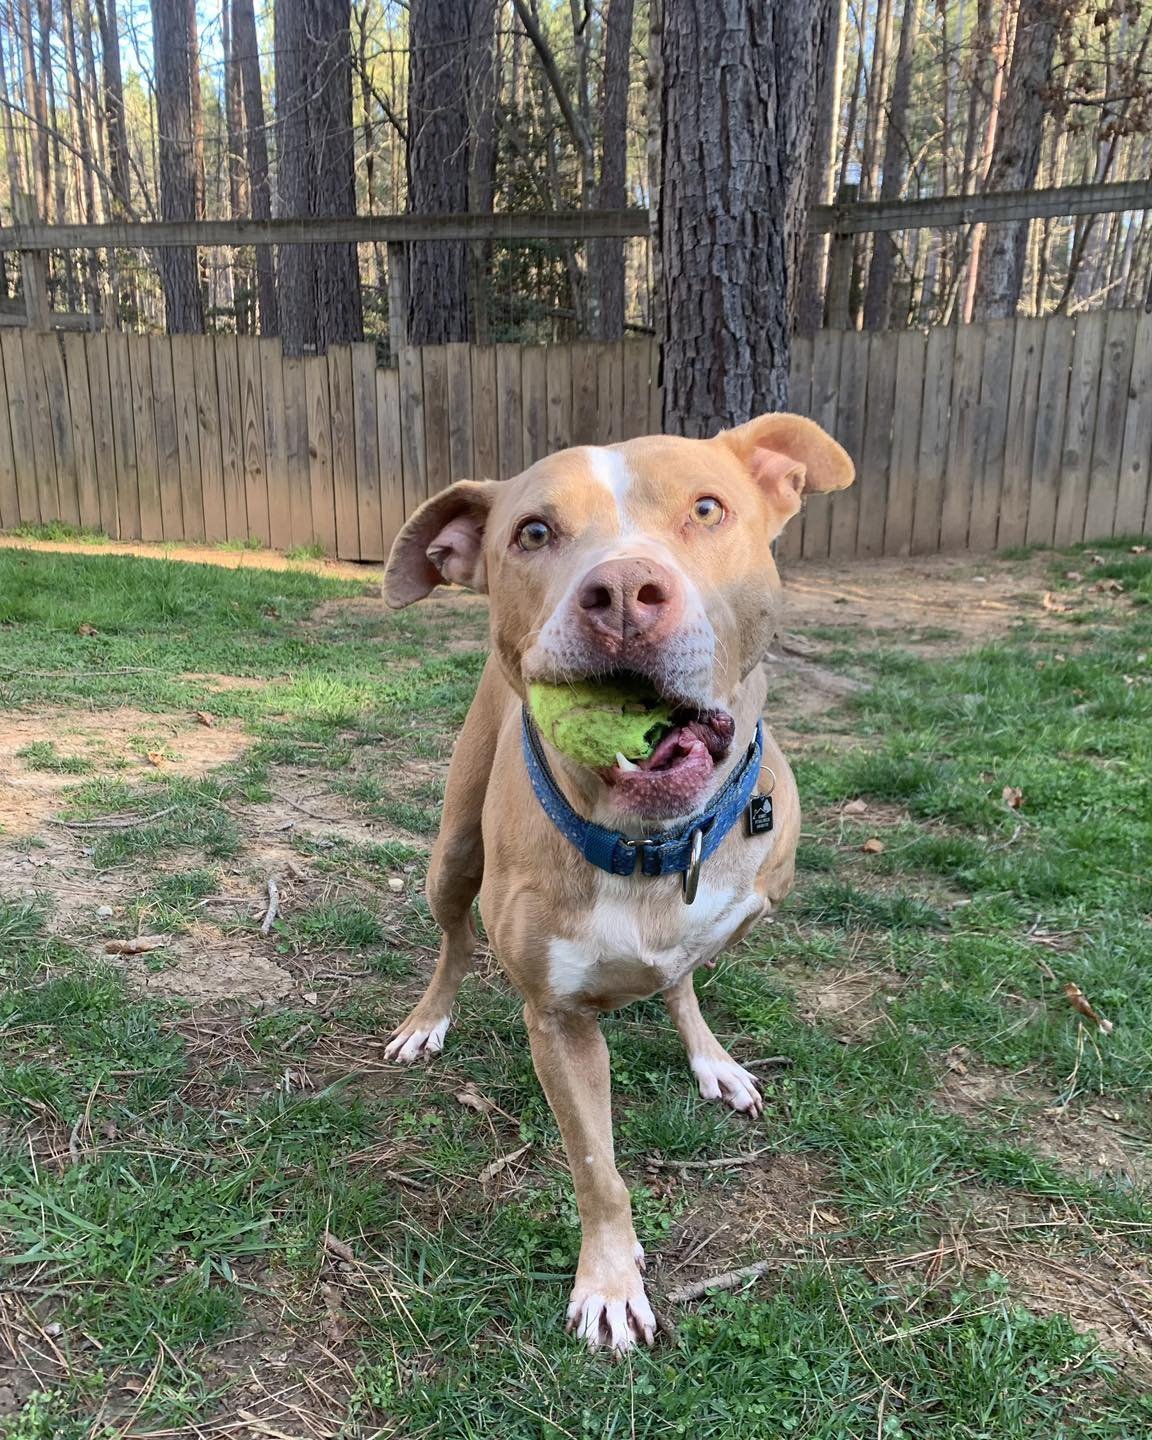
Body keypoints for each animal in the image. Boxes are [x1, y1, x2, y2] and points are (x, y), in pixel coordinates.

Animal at [383, 414, 852, 1347]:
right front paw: (609, 1279)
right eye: (534, 533)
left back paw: (710, 1056)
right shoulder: (557, 1021)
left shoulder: (754, 892)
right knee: (453, 940)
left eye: (707, 509)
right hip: (451, 856)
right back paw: (428, 1020)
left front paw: (701, 1039)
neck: (653, 847)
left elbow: (688, 966)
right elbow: (597, 1167)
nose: (626, 590)